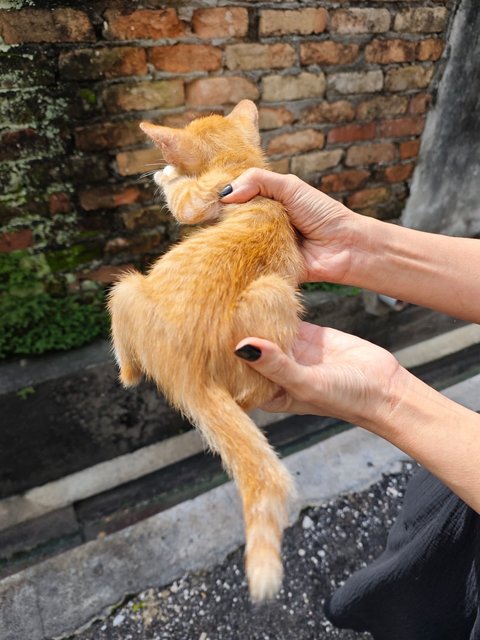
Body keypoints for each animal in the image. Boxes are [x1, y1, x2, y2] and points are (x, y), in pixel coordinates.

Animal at [108, 101, 304, 604]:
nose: (161, 163)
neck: (238, 166)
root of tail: (186, 371)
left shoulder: (202, 198)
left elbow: (182, 201)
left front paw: (165, 175)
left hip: (127, 289)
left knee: (125, 339)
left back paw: (129, 374)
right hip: (274, 294)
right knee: (252, 392)